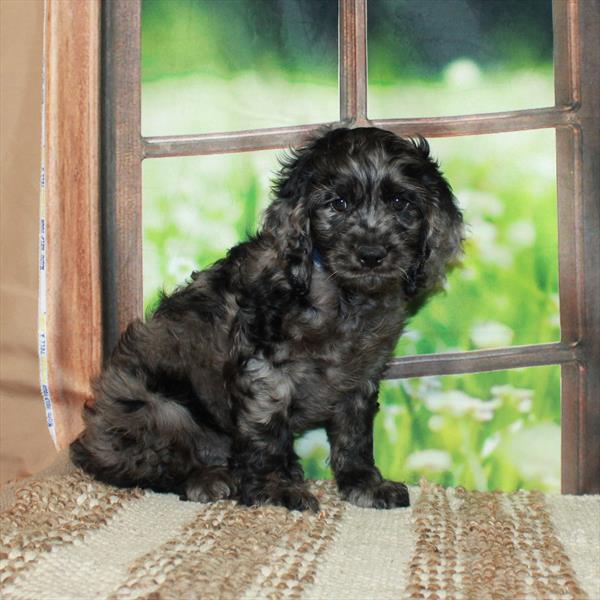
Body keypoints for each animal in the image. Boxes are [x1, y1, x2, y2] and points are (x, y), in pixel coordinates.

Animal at [71, 126, 464, 510]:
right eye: (338, 204)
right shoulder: (265, 370)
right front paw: (278, 488)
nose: (371, 255)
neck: (342, 296)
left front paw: (365, 484)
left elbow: (354, 435)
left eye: (401, 203)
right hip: (154, 409)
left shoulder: (360, 377)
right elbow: (267, 433)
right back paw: (208, 478)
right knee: (149, 464)